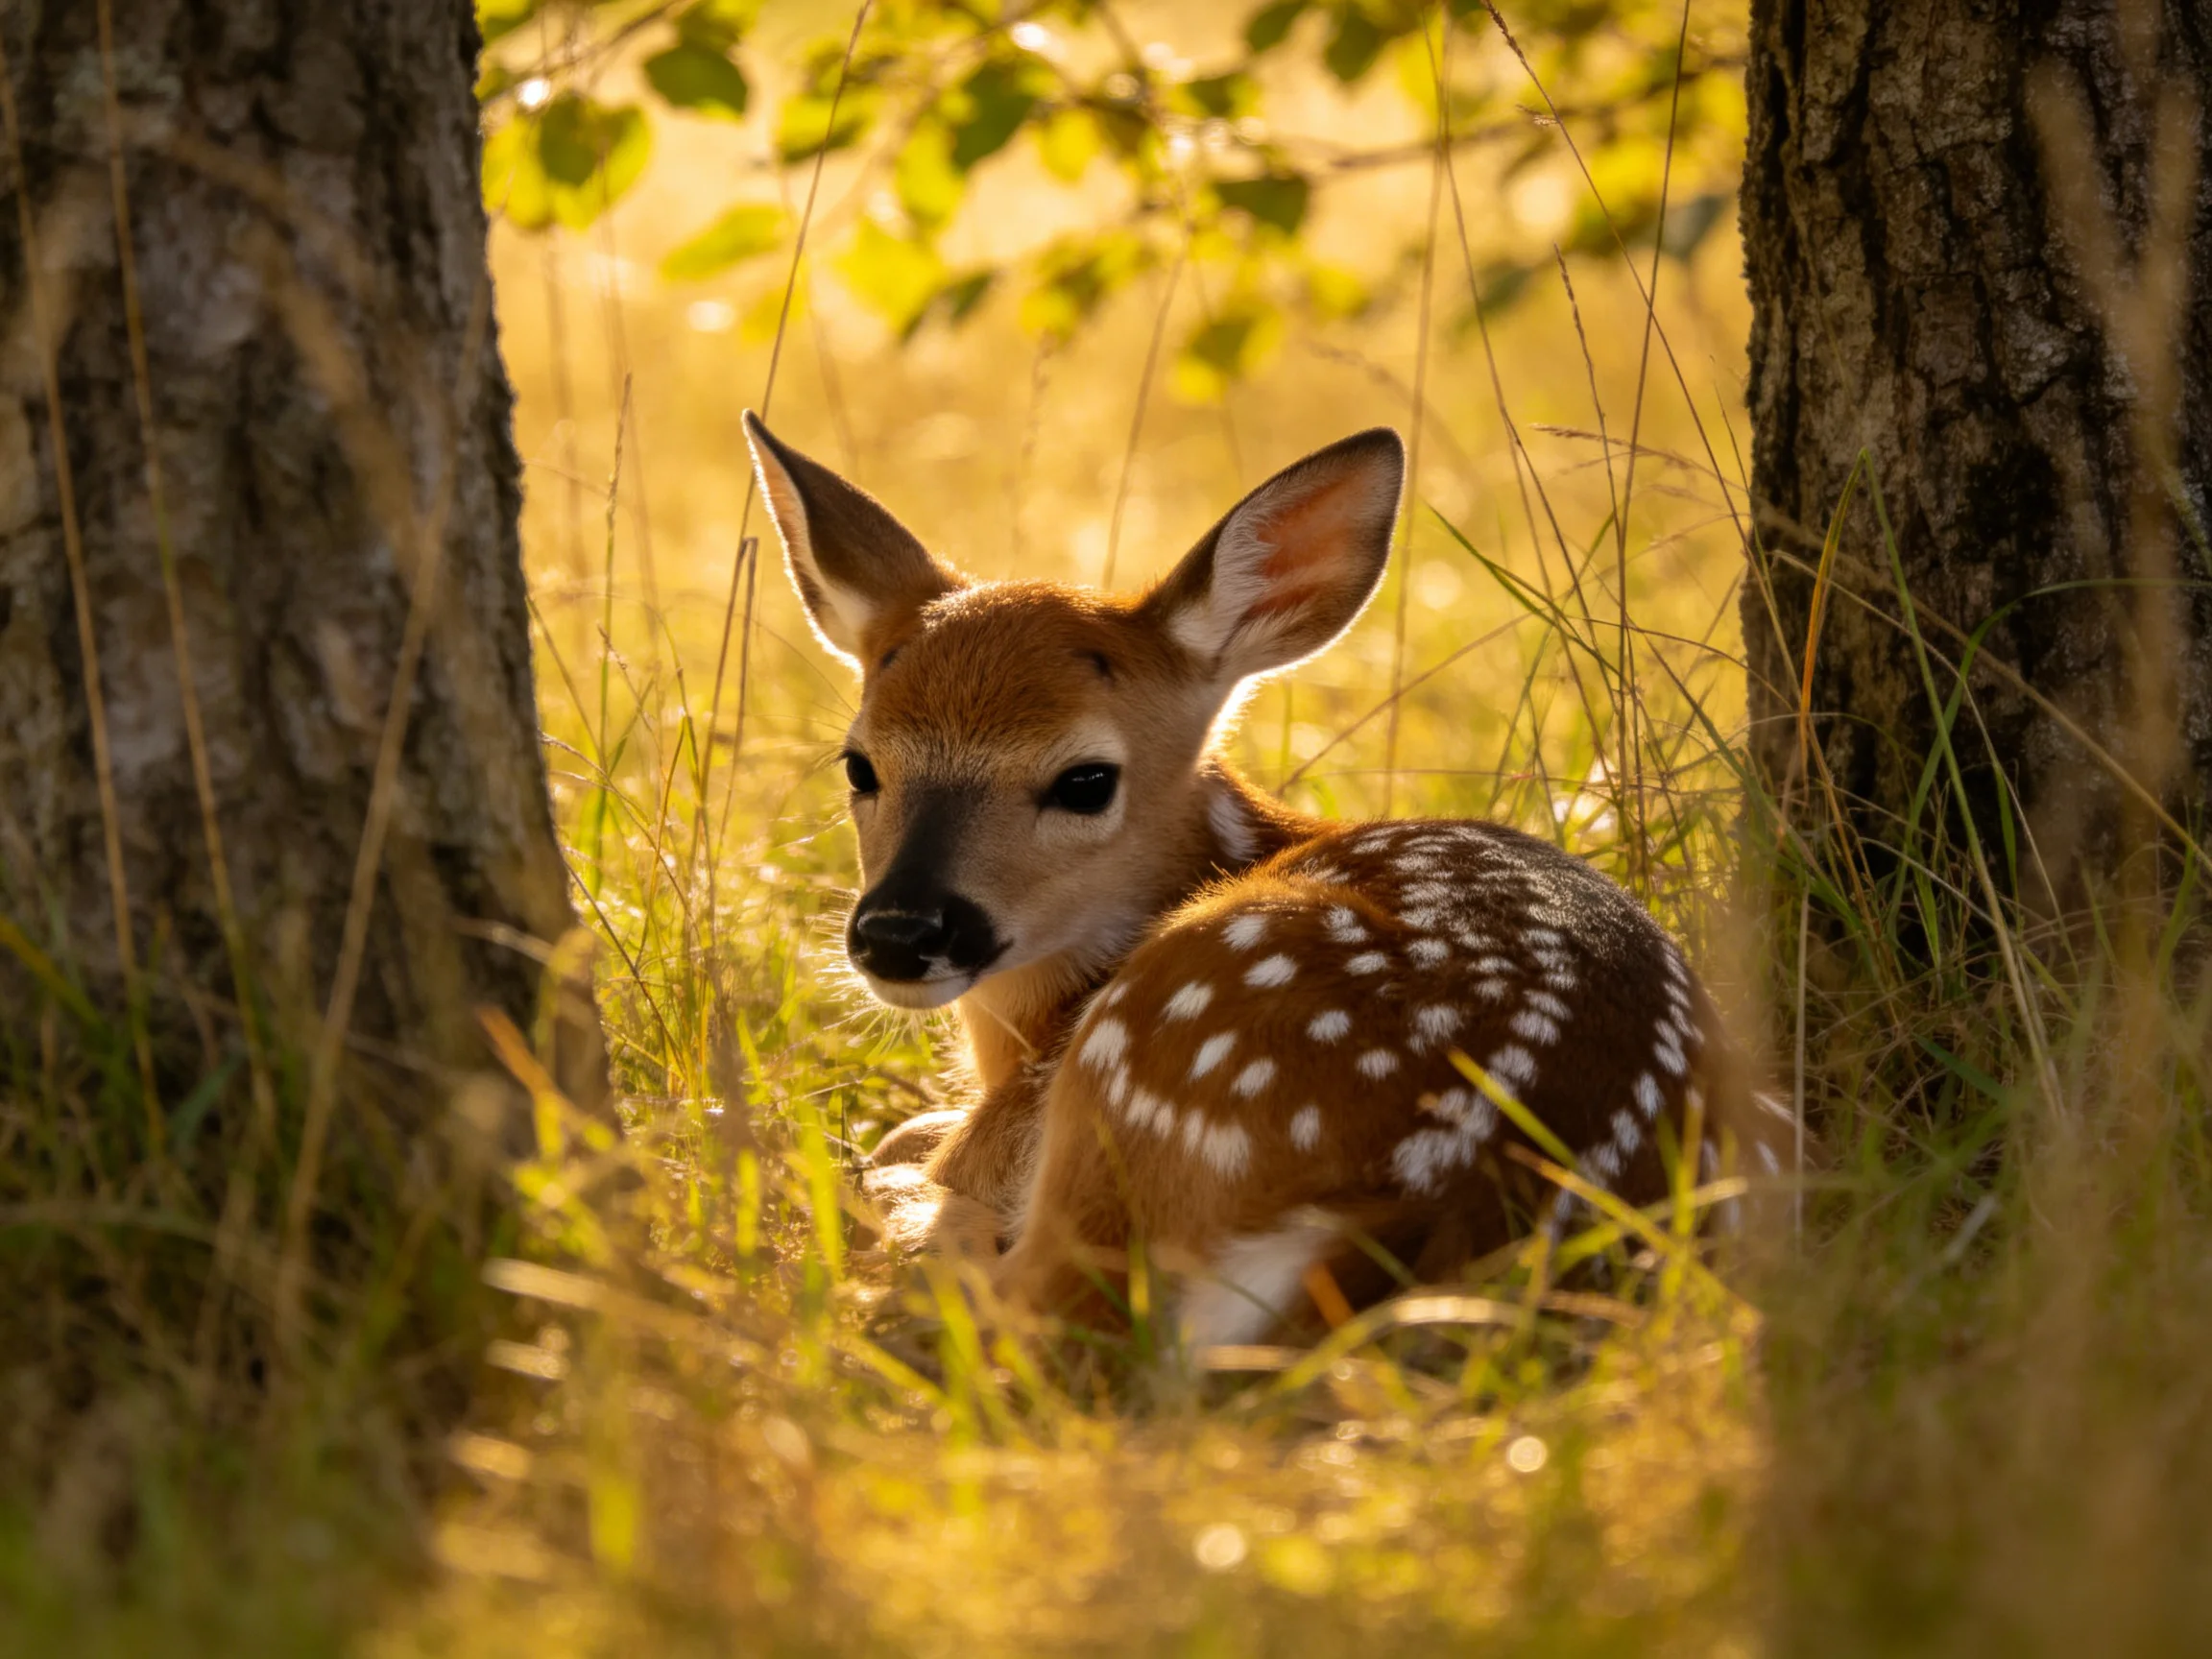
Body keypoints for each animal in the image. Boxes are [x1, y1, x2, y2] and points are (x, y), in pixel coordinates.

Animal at [742, 411, 1782, 1347]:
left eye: (1086, 779)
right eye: (859, 765)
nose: (899, 932)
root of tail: (1426, 1214)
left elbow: (915, 1155)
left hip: (1138, 1064)